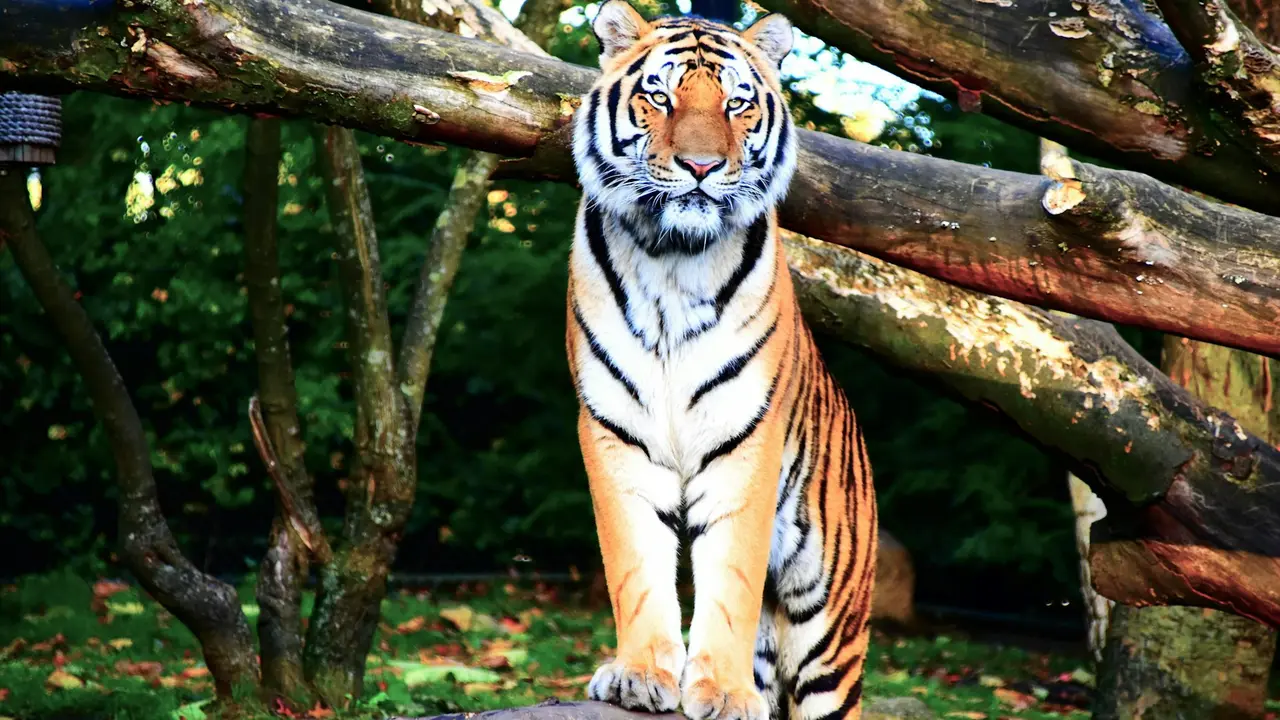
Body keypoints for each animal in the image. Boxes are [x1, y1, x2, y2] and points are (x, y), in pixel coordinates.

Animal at [565, 2, 878, 720]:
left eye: (738, 103)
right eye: (660, 95)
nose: (702, 166)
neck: (671, 258)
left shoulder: (746, 435)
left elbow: (730, 572)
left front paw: (726, 694)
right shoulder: (616, 431)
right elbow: (635, 565)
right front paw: (640, 674)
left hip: (830, 634)